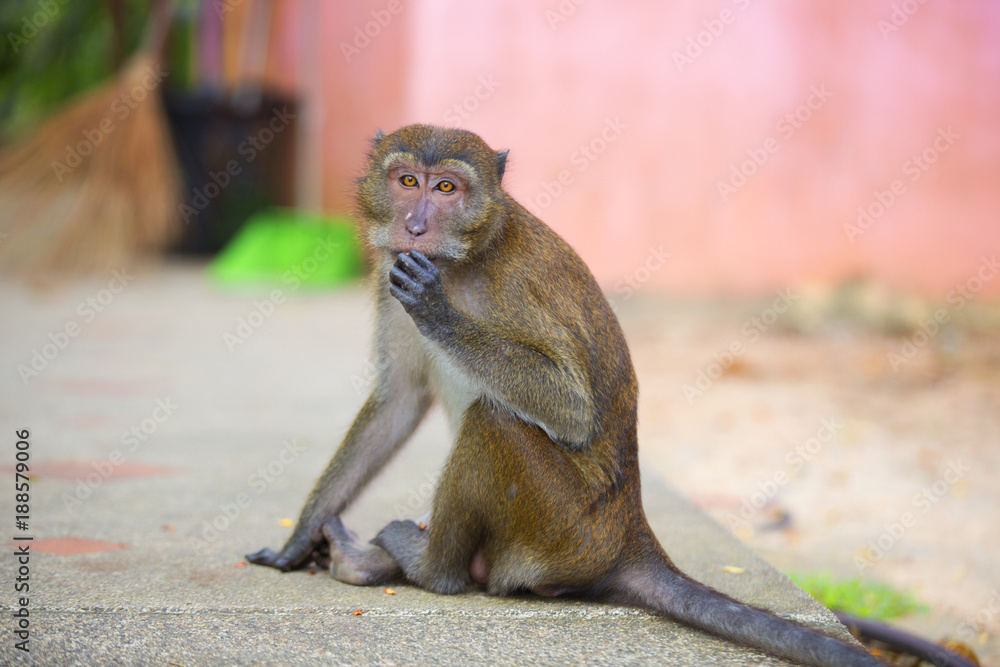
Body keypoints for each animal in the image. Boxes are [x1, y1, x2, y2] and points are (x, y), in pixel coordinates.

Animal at [246, 126, 880, 667]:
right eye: (407, 181)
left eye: (446, 188)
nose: (416, 226)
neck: (462, 261)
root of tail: (629, 536)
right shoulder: (390, 279)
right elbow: (397, 401)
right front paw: (298, 538)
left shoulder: (510, 287)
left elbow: (571, 408)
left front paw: (440, 315)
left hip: (560, 529)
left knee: (494, 419)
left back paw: (429, 569)